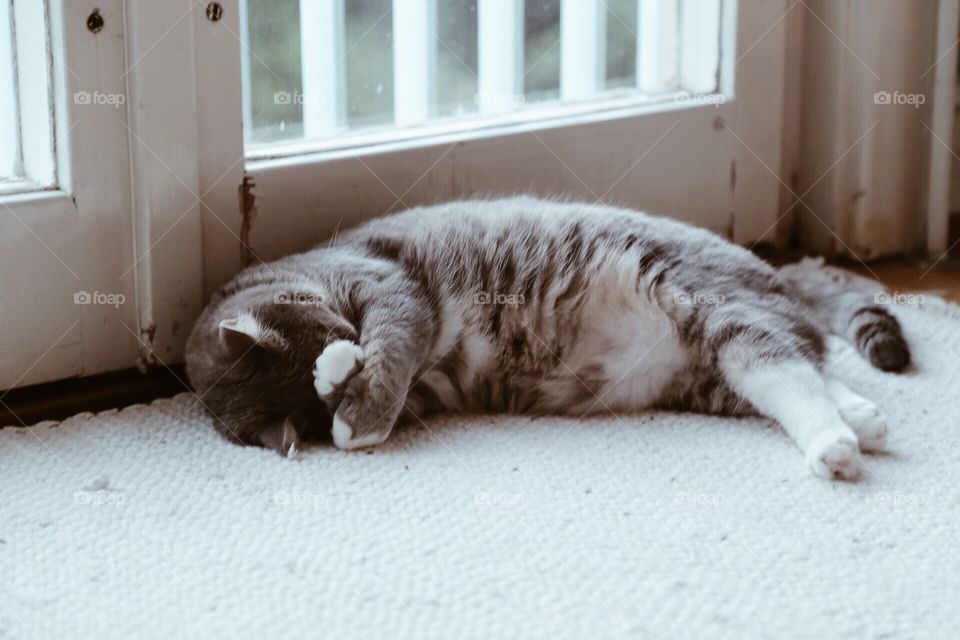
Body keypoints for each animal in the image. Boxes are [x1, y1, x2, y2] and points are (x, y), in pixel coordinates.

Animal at [186, 195, 908, 480]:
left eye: (328, 321)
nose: (344, 339)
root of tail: (773, 271)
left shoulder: (391, 288)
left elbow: (390, 352)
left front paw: (346, 385)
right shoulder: (423, 392)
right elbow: (396, 394)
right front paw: (340, 382)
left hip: (707, 302)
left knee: (790, 367)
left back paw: (836, 443)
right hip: (709, 375)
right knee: (796, 363)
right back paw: (862, 420)